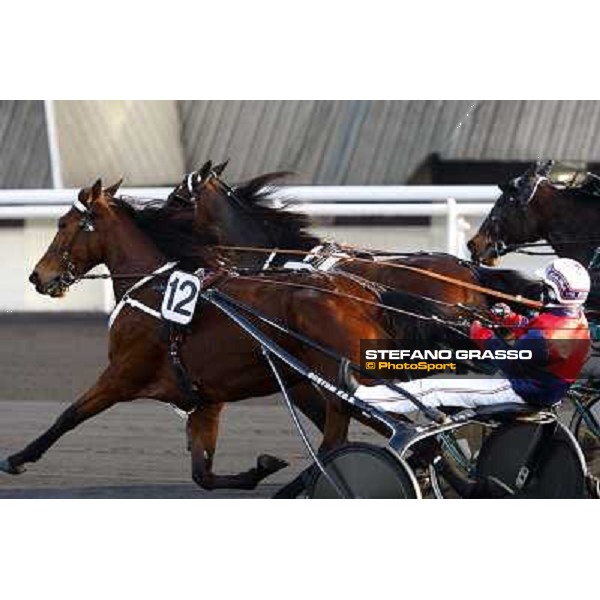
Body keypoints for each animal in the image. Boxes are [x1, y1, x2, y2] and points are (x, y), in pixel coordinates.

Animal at [1, 179, 398, 492]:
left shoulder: (122, 375)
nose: (38, 276)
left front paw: (16, 458)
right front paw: (260, 469)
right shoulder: (204, 397)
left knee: (345, 440)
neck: (154, 289)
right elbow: (202, 473)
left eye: (63, 223)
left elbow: (68, 416)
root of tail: (361, 292)